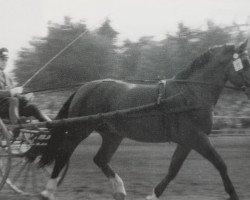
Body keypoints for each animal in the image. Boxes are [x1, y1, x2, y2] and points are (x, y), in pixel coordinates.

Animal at [39, 40, 250, 200]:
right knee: (64, 153)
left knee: (100, 159)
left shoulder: (188, 141)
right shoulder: (196, 137)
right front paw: (233, 194)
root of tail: (84, 87)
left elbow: (173, 169)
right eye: (246, 63)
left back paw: (120, 190)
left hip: (113, 134)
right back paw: (48, 191)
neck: (189, 93)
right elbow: (220, 164)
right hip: (80, 129)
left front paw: (153, 195)